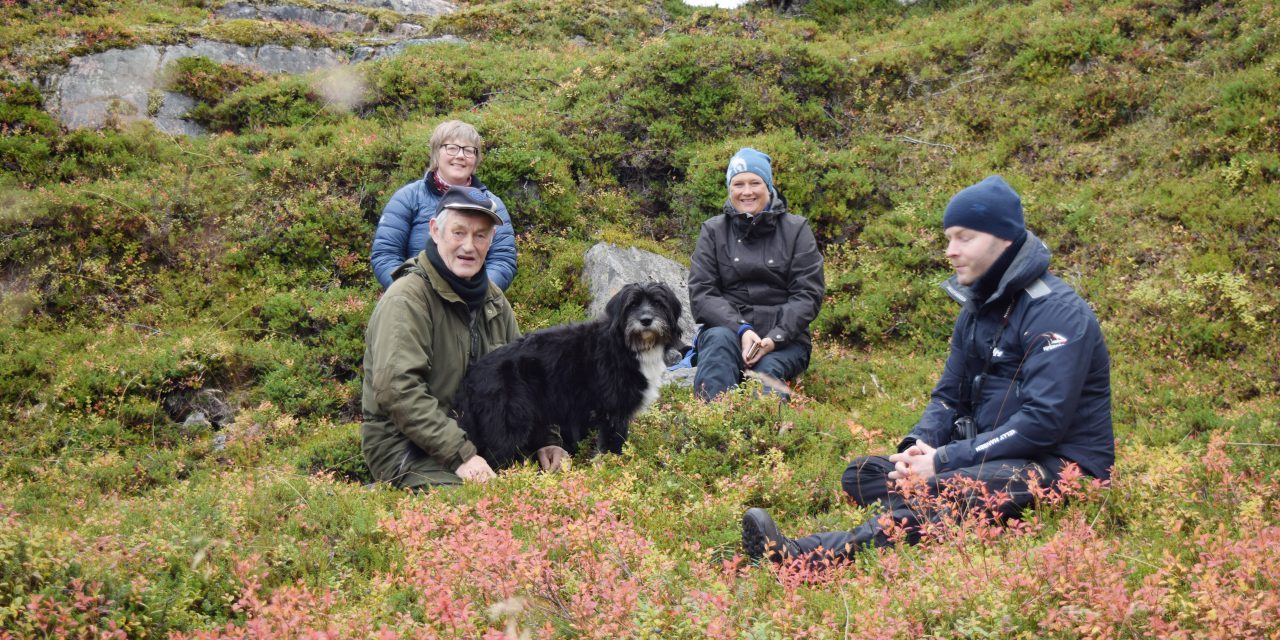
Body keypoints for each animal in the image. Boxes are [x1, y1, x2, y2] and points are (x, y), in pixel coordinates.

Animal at [455, 282, 686, 468]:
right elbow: (613, 446)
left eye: (658, 303)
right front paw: (614, 470)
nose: (646, 320)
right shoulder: (613, 413)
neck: (627, 346)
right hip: (507, 428)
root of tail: (473, 374)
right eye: (632, 305)